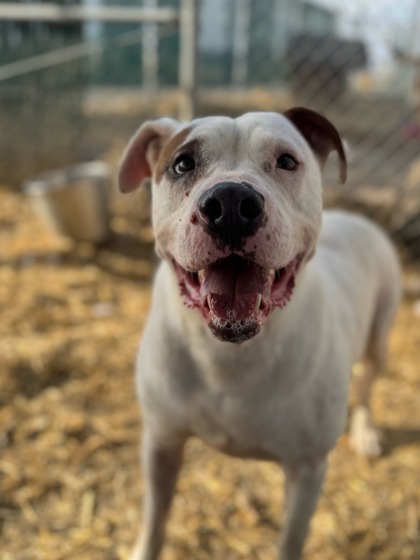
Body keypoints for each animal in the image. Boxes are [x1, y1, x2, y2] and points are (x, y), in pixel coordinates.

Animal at [117, 107, 400, 556]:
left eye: (286, 160)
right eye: (182, 163)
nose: (230, 203)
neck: (231, 355)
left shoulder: (308, 470)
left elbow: (291, 541)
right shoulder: (162, 442)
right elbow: (154, 520)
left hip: (380, 336)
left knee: (369, 384)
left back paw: (366, 432)